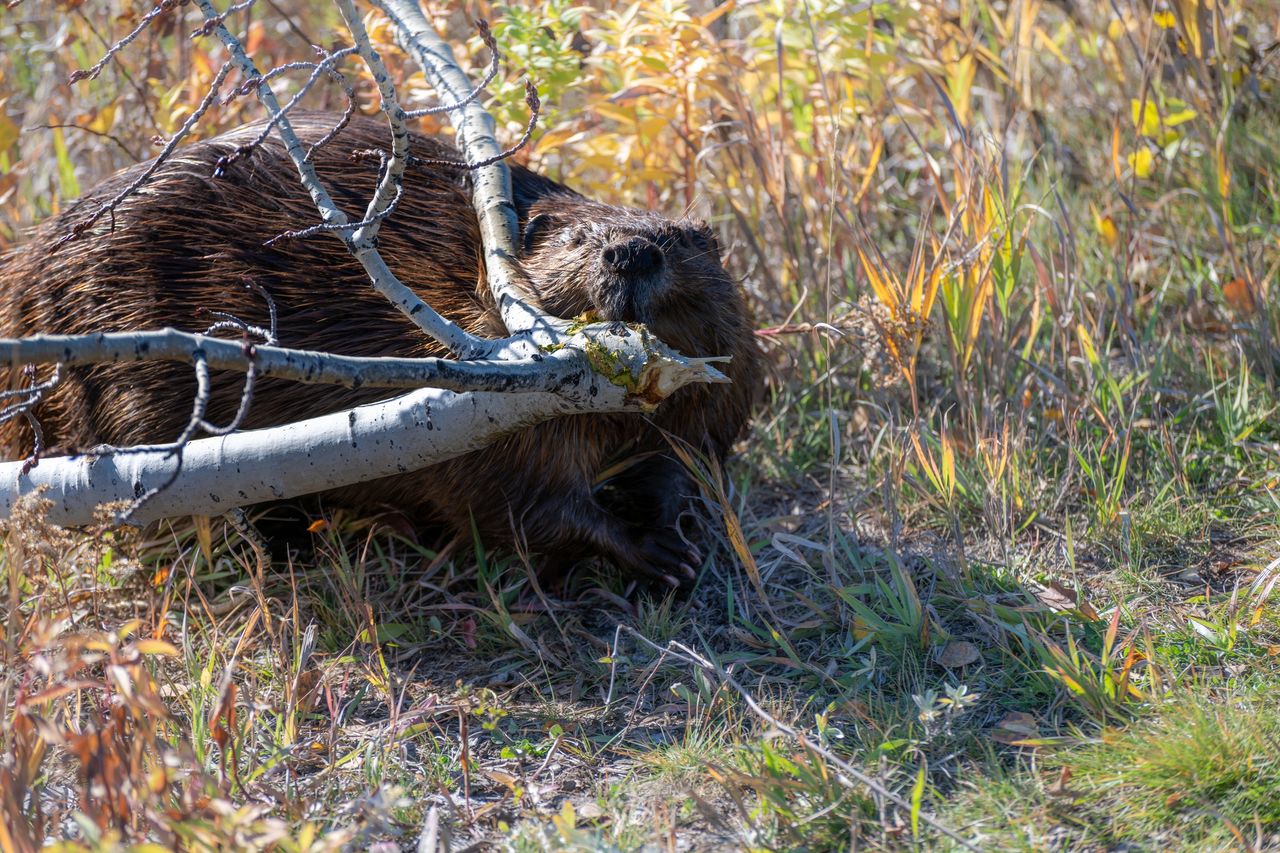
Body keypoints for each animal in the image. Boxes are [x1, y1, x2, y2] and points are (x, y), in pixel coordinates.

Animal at [0, 109, 757, 584]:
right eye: (576, 238)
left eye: (681, 238)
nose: (630, 252)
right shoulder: (484, 429)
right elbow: (519, 506)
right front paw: (652, 552)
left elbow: (687, 455)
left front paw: (678, 537)